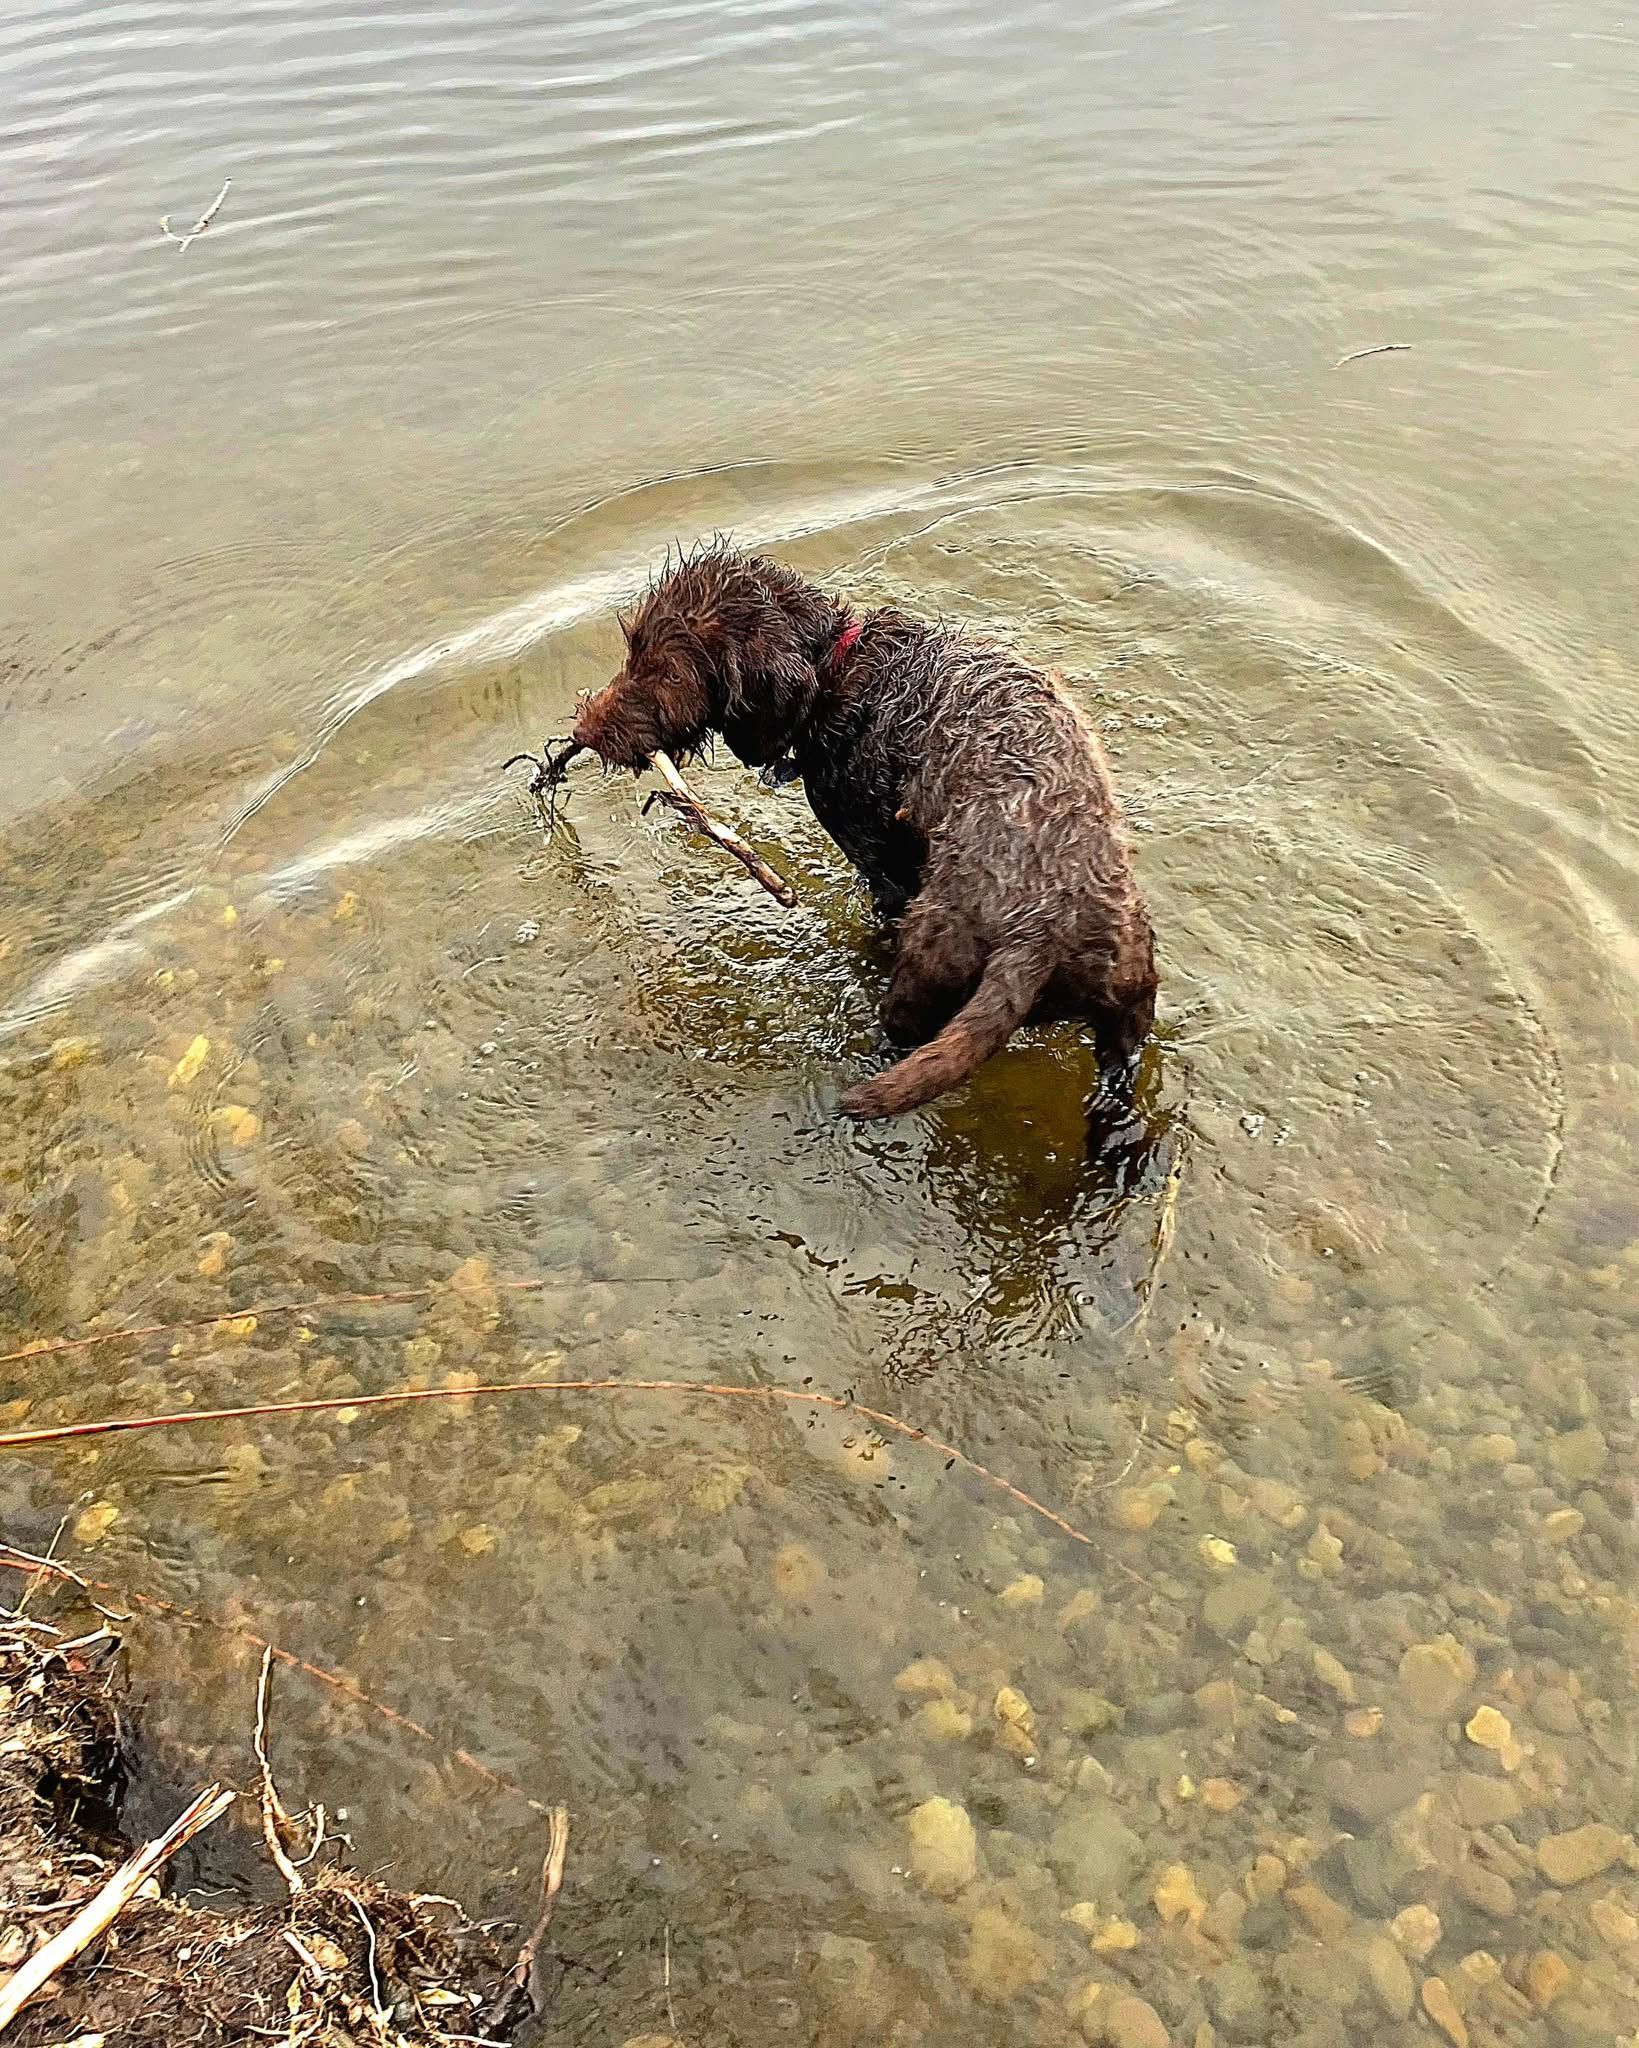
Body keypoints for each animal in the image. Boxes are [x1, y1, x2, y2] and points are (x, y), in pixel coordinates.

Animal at [570, 546, 1157, 1120]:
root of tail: (1036, 936)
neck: (839, 669)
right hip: (1129, 1001)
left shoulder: (877, 861)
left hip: (925, 970)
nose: (582, 730)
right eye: (632, 651)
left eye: (669, 675)